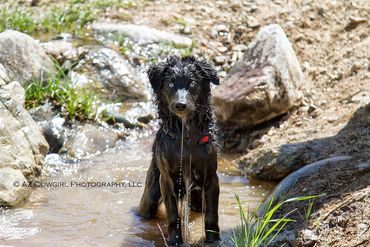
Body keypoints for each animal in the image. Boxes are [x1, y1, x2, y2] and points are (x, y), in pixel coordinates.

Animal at [137, 55, 221, 245]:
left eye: (192, 83)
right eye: (170, 84)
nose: (180, 105)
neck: (186, 136)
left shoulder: (211, 179)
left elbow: (212, 214)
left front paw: (213, 240)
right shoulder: (167, 181)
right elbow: (173, 214)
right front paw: (175, 240)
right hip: (150, 195)